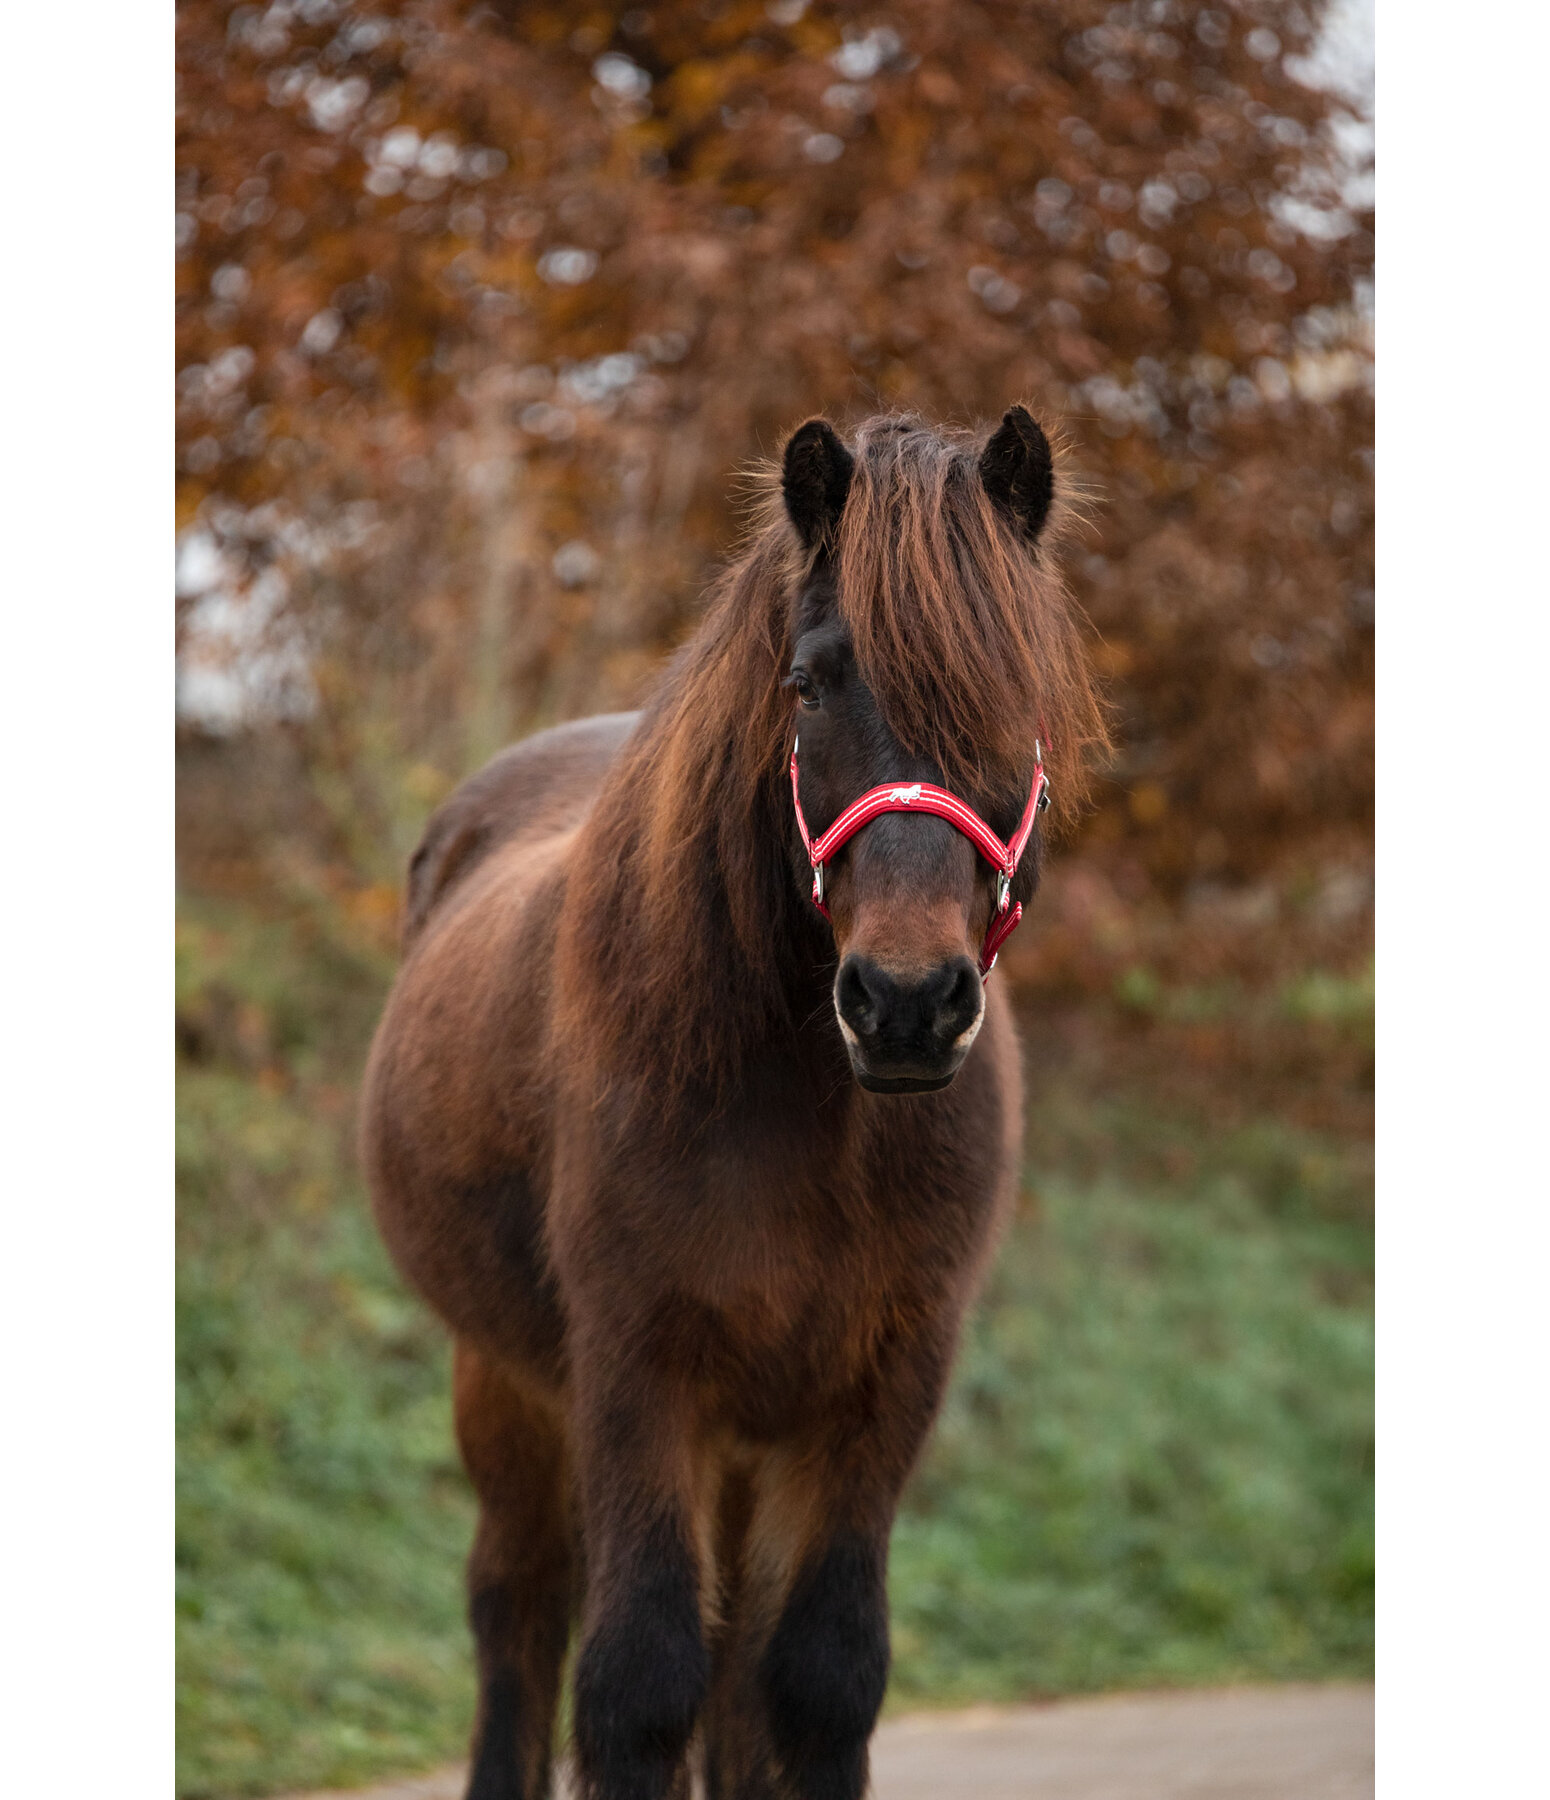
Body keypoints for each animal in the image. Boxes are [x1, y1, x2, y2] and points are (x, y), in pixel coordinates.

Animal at [363, 408, 1108, 1800]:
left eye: (1018, 689)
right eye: (808, 684)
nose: (905, 1004)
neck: (808, 1112)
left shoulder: (877, 1389)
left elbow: (818, 1678)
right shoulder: (635, 1374)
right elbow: (639, 1680)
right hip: (507, 1385)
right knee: (518, 1613)